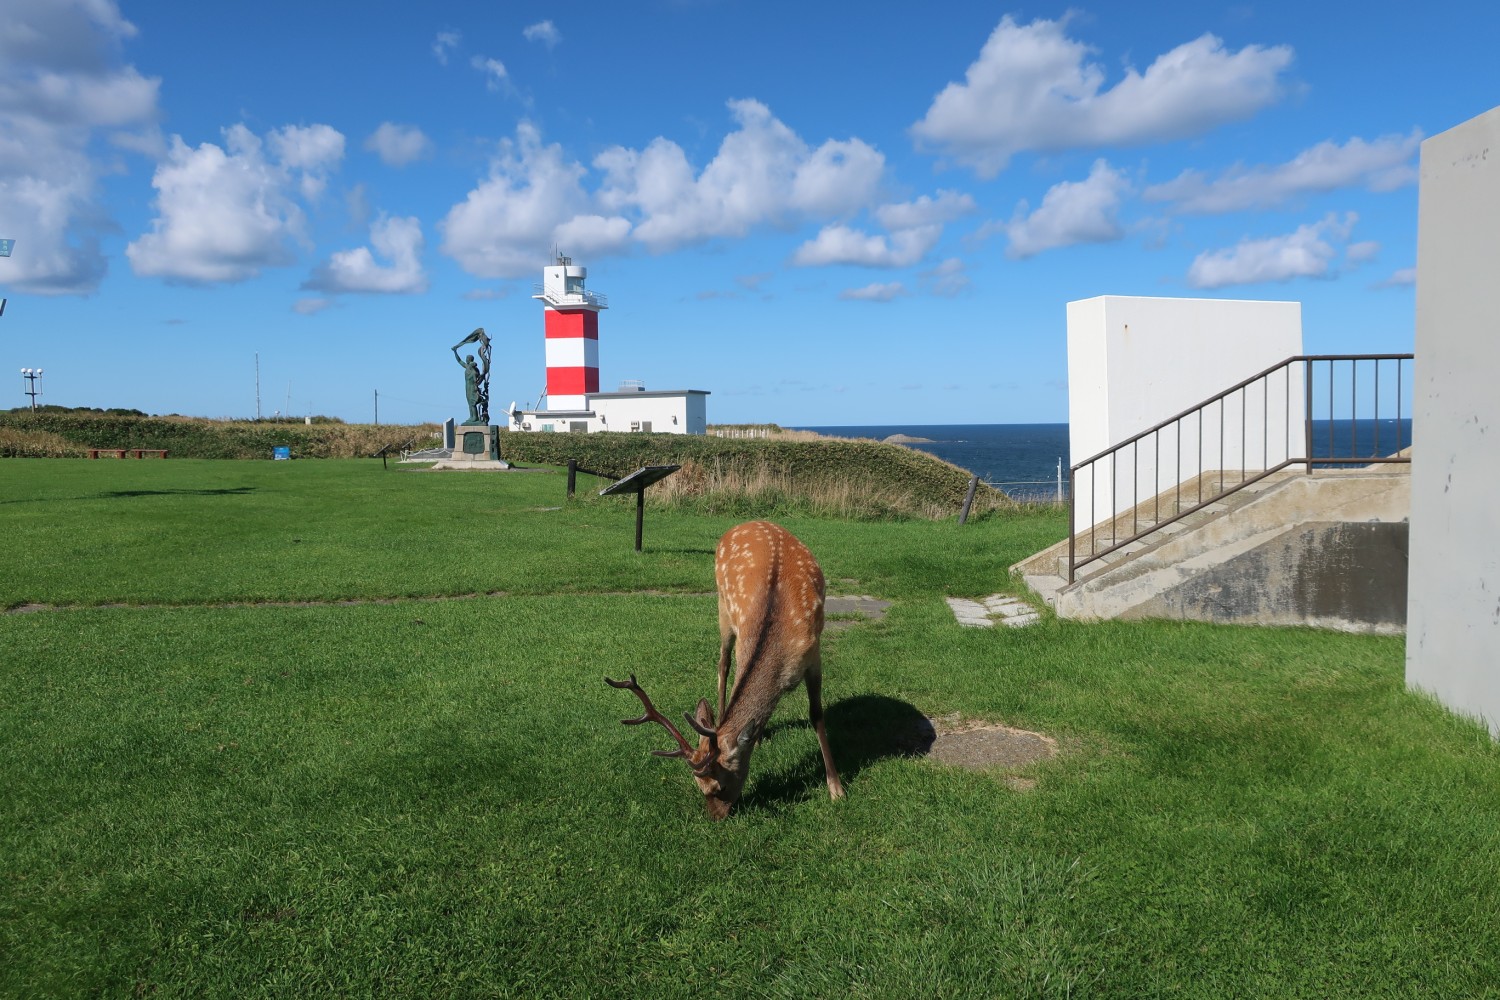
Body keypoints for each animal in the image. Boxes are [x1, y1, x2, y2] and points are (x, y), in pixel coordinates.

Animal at [605, 520, 845, 819]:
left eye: (718, 786)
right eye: (700, 787)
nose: (715, 818)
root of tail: (748, 522)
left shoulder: (814, 654)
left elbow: (816, 715)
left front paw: (836, 789)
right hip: (723, 608)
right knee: (723, 665)